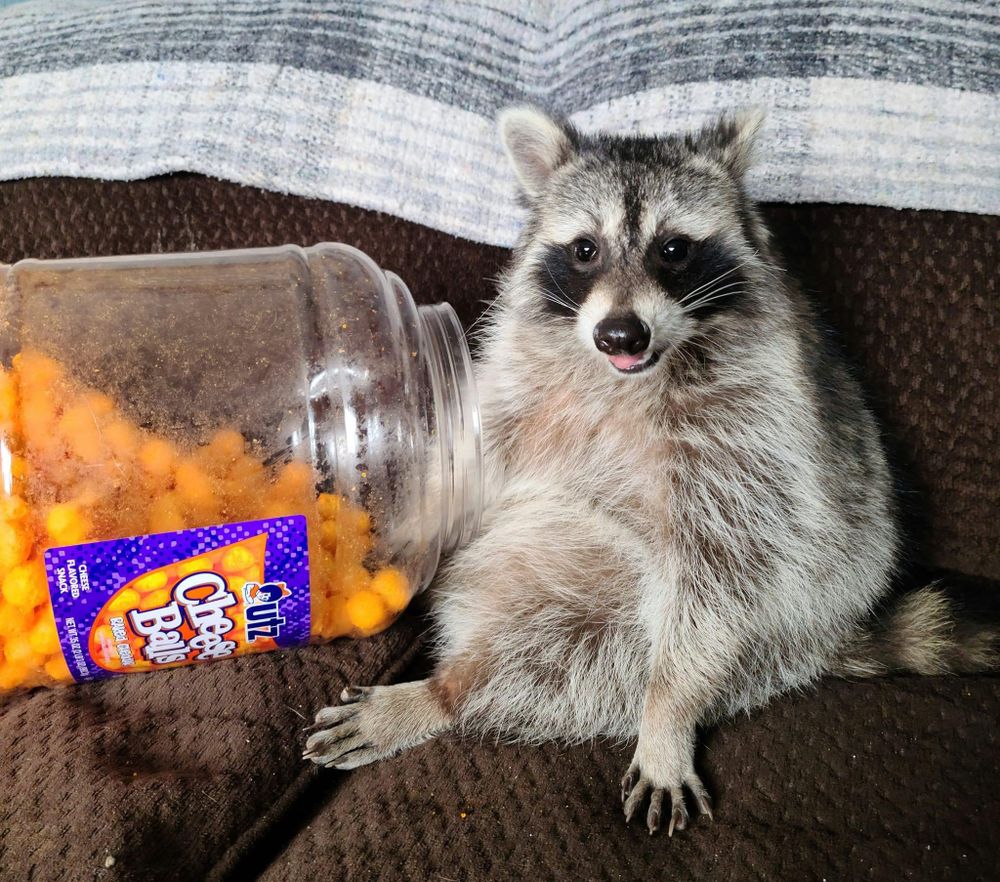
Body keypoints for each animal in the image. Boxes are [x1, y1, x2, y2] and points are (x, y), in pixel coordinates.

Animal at [304, 107, 998, 835]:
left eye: (674, 249)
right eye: (585, 249)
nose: (620, 334)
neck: (631, 372)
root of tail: (827, 641)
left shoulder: (756, 442)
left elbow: (723, 574)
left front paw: (667, 713)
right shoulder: (519, 383)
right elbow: (474, 461)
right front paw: (409, 517)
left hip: (710, 635)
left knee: (557, 660)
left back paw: (447, 692)